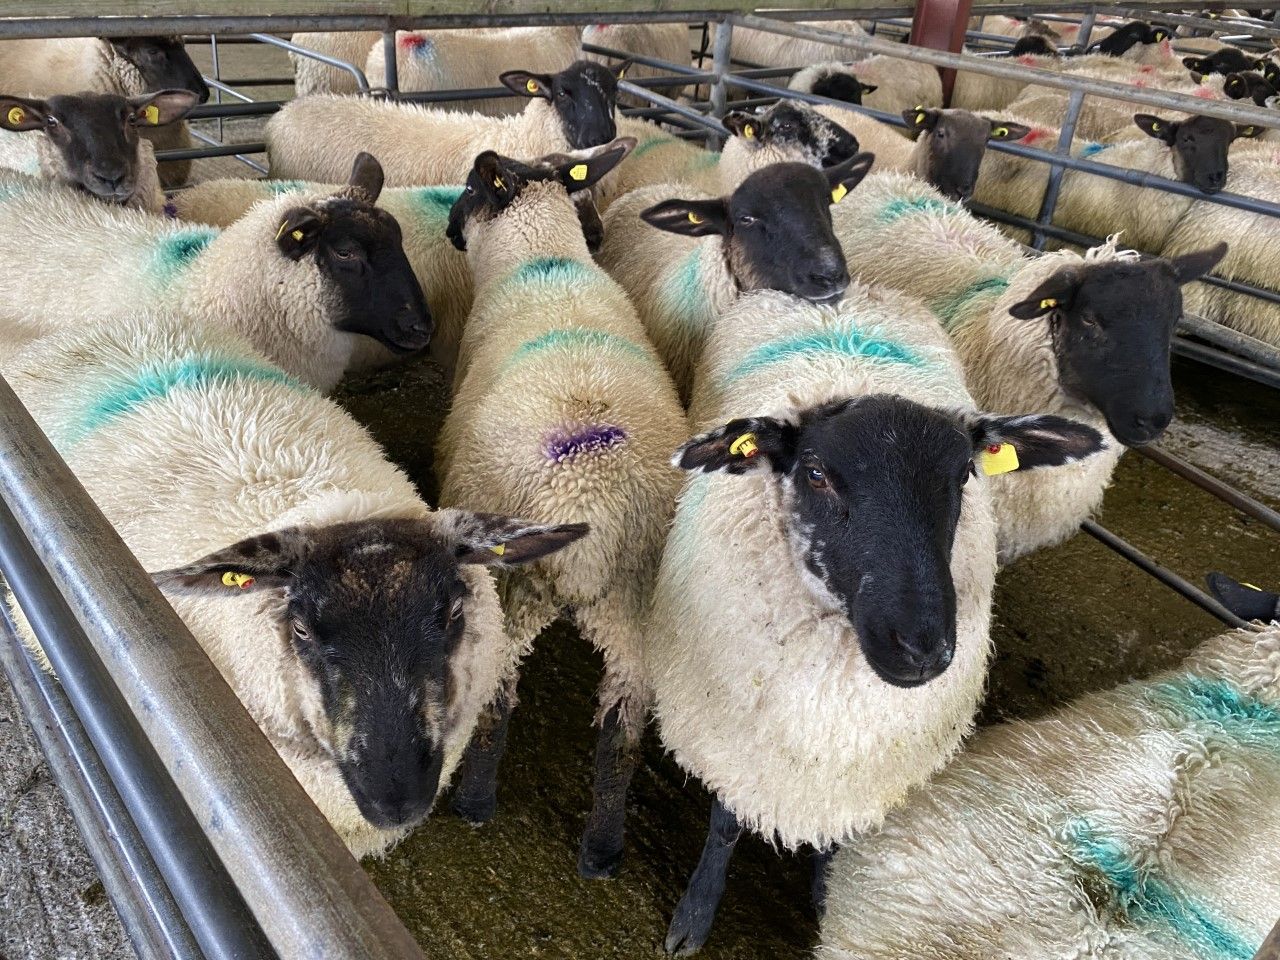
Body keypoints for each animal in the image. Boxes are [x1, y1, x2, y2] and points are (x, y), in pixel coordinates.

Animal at [438, 139, 689, 881]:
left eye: (470, 188)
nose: (449, 228)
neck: (542, 258)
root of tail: (593, 508)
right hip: (637, 608)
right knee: (620, 735)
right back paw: (602, 851)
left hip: (512, 586)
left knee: (497, 698)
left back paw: (475, 803)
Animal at [649, 277, 1107, 953]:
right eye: (815, 474)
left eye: (964, 476)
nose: (922, 648)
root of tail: (844, 289)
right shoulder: (733, 739)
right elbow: (727, 825)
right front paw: (694, 917)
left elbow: (836, 842)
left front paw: (825, 897)